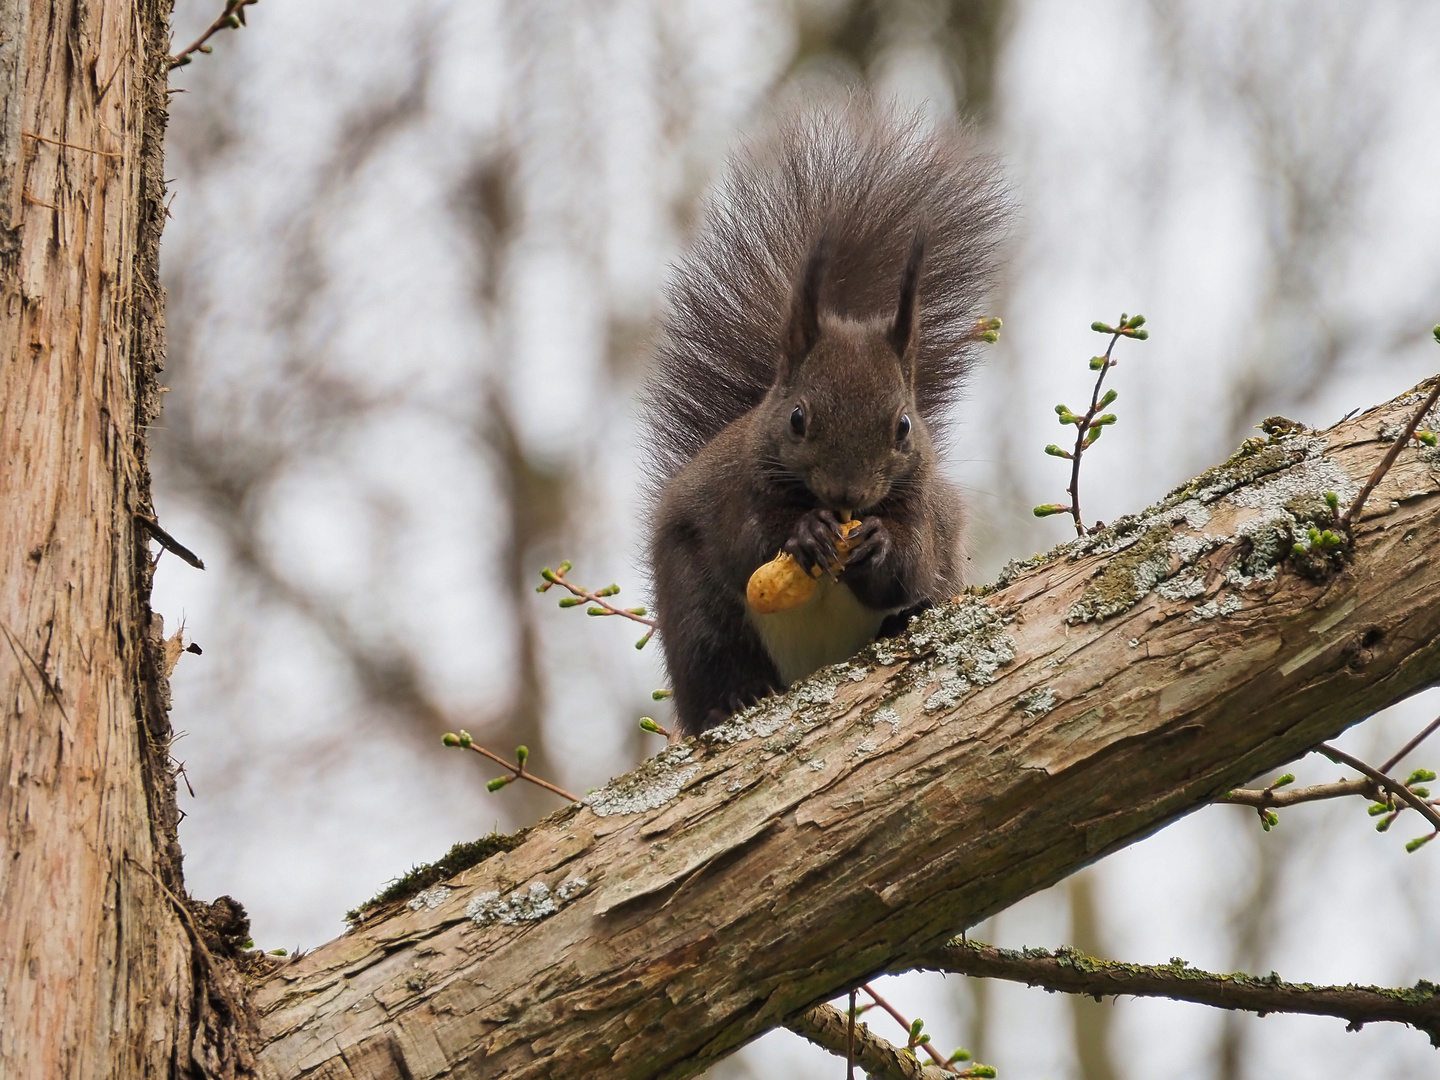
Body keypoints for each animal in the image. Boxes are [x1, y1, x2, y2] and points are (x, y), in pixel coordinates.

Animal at [648, 101, 1008, 737]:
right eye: (797, 418)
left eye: (904, 426)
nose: (847, 493)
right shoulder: (734, 489)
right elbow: (747, 541)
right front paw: (805, 531)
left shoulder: (922, 507)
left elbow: (912, 561)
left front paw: (880, 544)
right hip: (694, 613)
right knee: (713, 659)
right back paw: (732, 699)